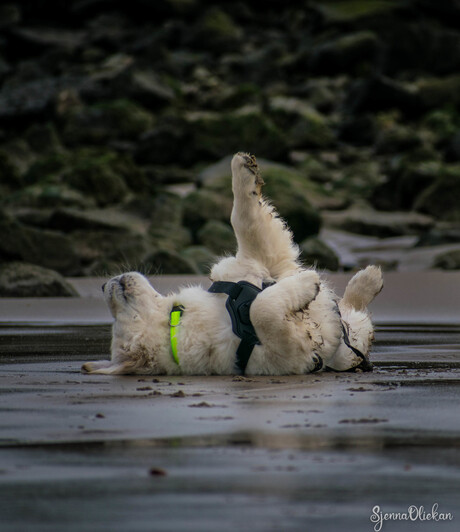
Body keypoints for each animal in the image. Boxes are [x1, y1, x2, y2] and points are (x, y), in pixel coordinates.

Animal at [82, 154, 380, 376]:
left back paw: (368, 278)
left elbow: (245, 220)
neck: (177, 323)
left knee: (350, 310)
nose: (104, 284)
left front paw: (244, 169)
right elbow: (262, 309)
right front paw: (308, 283)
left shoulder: (254, 265)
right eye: (118, 315)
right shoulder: (282, 350)